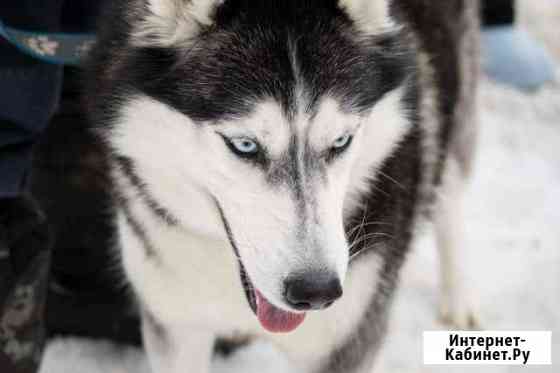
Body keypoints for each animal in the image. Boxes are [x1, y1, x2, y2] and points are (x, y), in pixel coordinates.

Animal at [85, 0, 480, 370]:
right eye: (245, 145)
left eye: (341, 141)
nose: (316, 290)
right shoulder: (176, 326)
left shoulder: (346, 341)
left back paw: (458, 300)